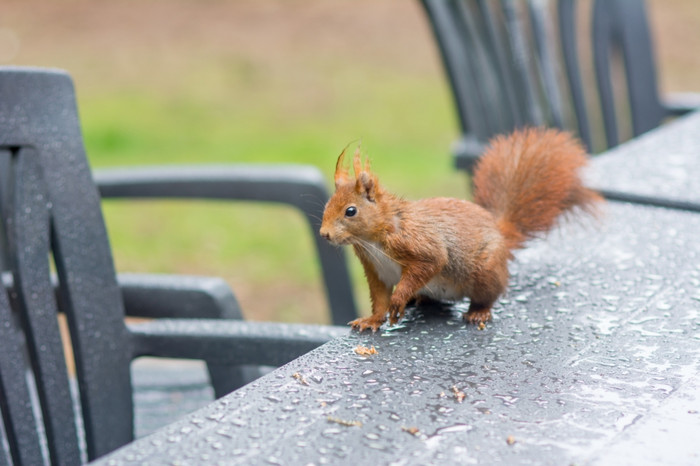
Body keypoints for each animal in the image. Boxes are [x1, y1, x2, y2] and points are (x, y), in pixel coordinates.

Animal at [320, 127, 600, 332]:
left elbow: (431, 262)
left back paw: (478, 312)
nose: (324, 234)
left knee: (489, 294)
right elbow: (379, 299)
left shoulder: (417, 243)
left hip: (485, 272)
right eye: (326, 205)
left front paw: (399, 299)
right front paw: (371, 320)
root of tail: (500, 232)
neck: (373, 239)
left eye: (350, 211)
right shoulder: (376, 270)